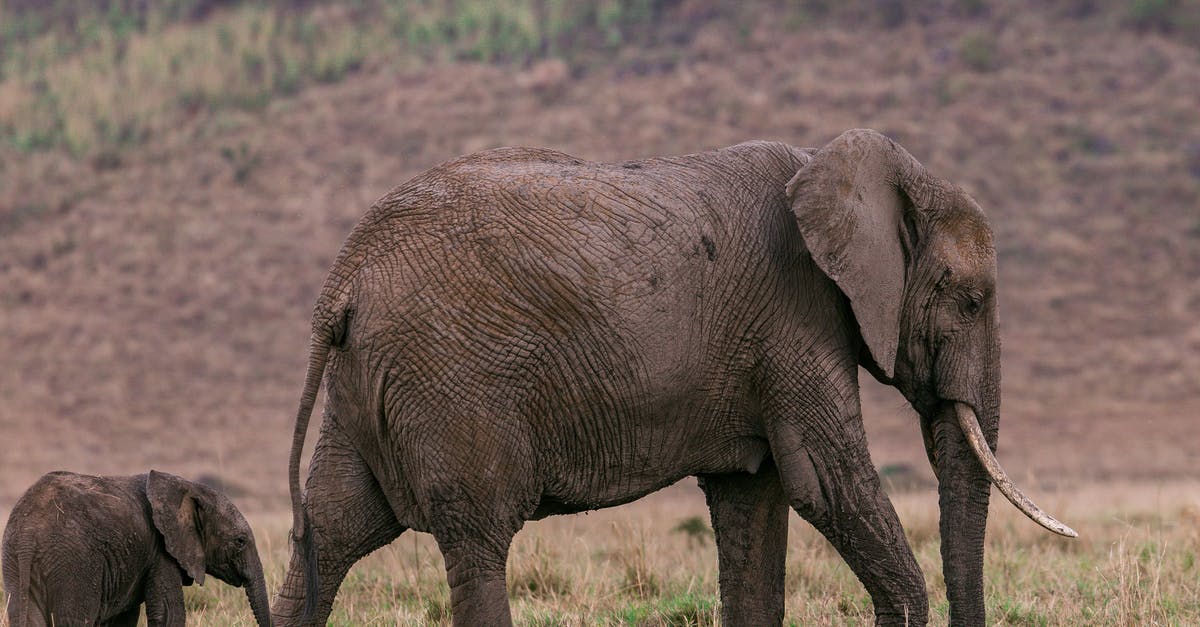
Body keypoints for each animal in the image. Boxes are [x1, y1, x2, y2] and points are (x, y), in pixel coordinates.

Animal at [1, 468, 270, 624]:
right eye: (240, 541)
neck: (187, 487)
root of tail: (28, 535)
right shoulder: (161, 552)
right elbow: (169, 612)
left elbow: (124, 617)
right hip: (73, 563)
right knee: (76, 618)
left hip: (14, 562)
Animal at [274, 129, 1080, 619]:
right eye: (970, 300)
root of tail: (344, 278)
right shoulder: (795, 316)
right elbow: (827, 483)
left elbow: (755, 502)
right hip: (449, 379)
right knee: (475, 537)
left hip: (367, 381)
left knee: (333, 529)